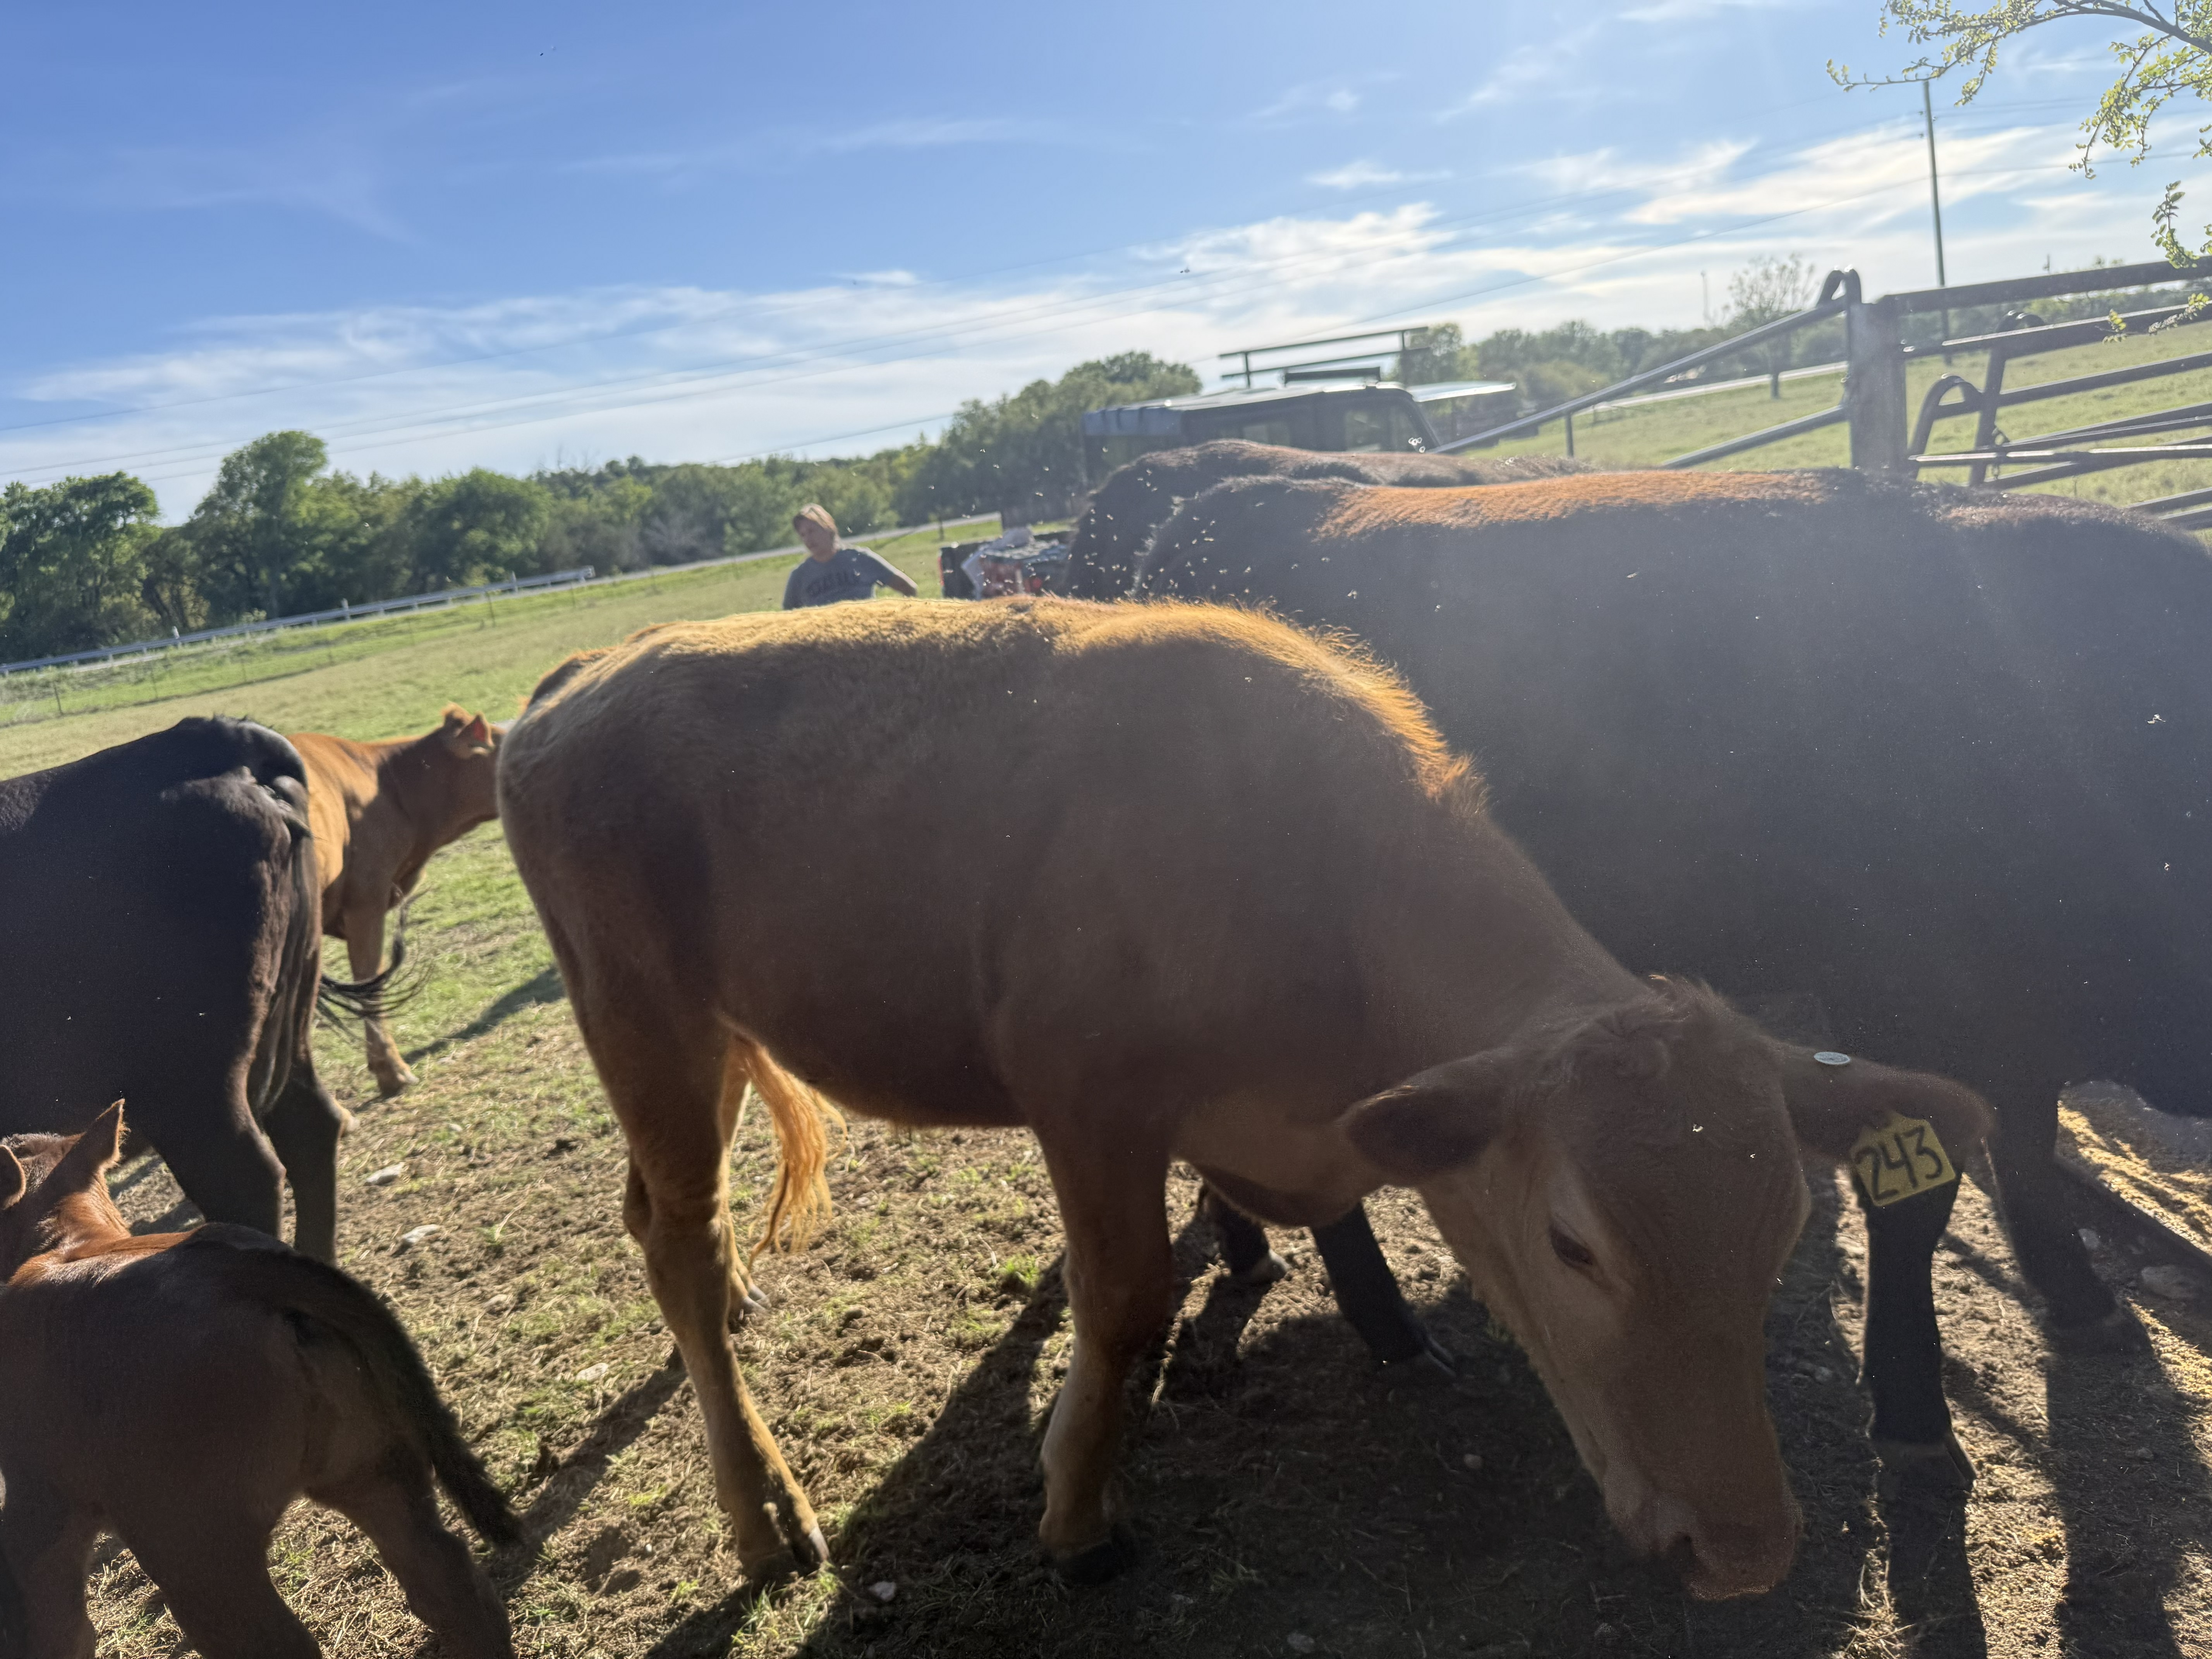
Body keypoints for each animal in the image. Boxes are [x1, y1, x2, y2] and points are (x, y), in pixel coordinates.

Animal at [0, 1106, 518, 1658]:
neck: (70, 1240)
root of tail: (234, 1268)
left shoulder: (39, 1509)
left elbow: (57, 1630)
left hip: (200, 1559)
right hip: (379, 1474)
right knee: (453, 1591)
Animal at [497, 598, 1991, 1598]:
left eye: (1784, 1233)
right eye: (1575, 1245)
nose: (1742, 1548)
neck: (1304, 872)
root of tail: (586, 674)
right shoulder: (1086, 1100)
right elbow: (1124, 1303)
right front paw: (1078, 1507)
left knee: (662, 1227)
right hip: (641, 1021)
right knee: (680, 1242)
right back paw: (761, 1514)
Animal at [1136, 465, 2212, 1481]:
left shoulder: (2023, 1024)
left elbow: (2027, 1149)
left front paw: (2086, 1306)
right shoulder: (1903, 997)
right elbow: (1919, 1204)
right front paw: (1916, 1423)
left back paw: (1258, 1260)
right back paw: (1398, 1341)